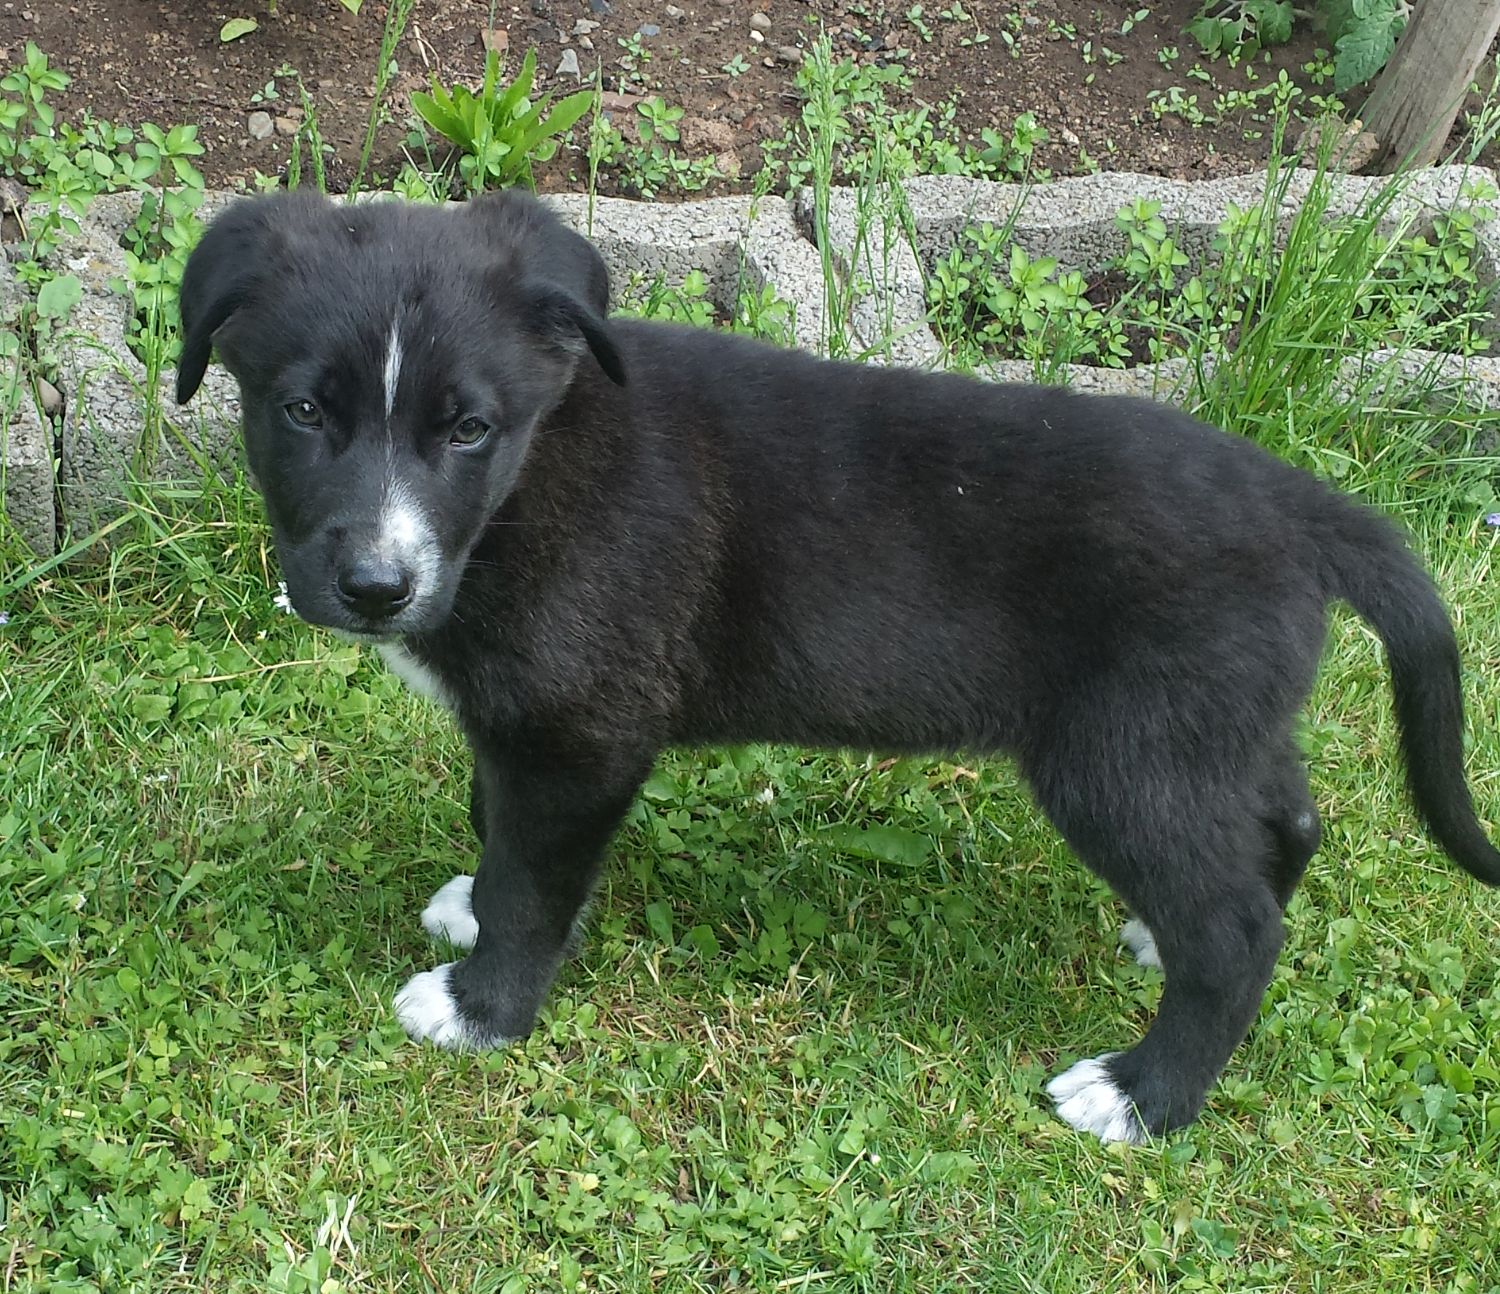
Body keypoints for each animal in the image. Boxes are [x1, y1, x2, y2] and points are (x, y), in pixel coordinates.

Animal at [178, 189, 1500, 1145]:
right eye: (301, 412)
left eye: (467, 428)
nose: (375, 587)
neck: (531, 476)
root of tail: (1302, 507)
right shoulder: (531, 729)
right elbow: (498, 824)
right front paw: (472, 899)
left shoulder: (580, 728)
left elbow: (536, 877)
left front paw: (481, 1005)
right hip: (1213, 725)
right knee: (1286, 821)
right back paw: (1153, 937)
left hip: (1127, 754)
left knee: (1233, 933)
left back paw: (1140, 1093)